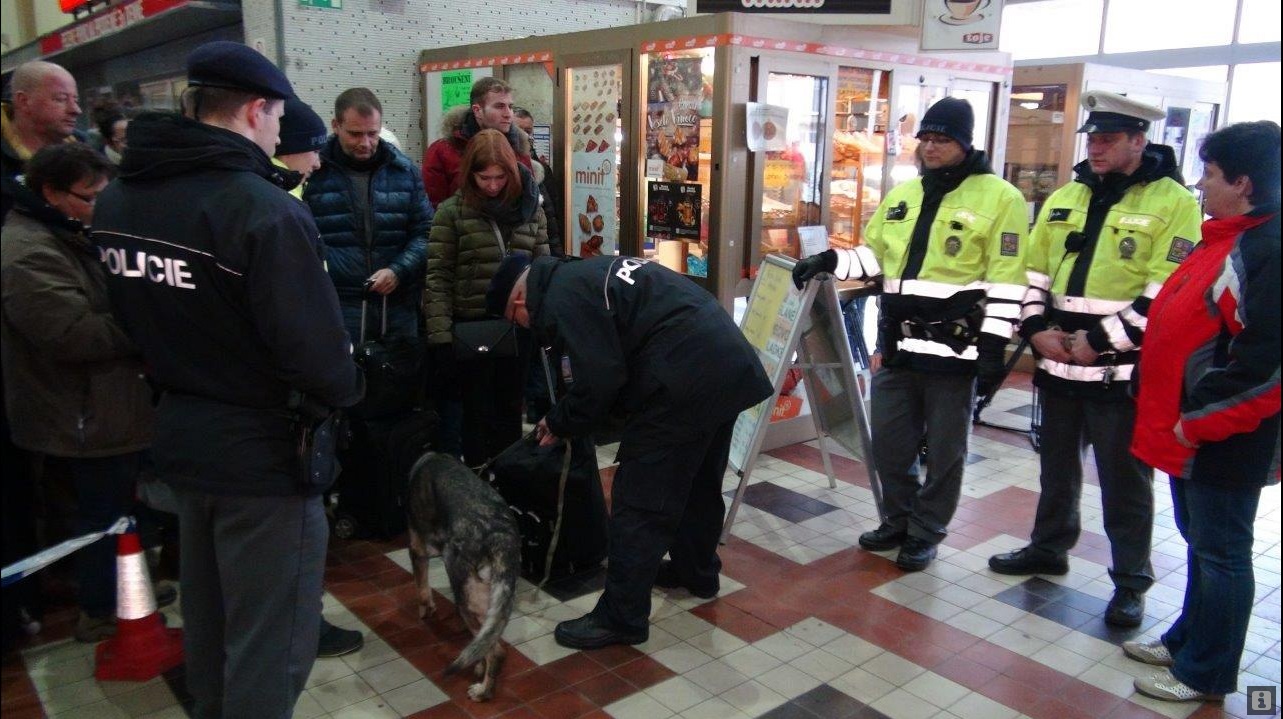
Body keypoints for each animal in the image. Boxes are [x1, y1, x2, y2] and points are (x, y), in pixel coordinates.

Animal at [402, 451, 518, 698]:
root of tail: (498, 534)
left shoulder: (417, 550)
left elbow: (422, 587)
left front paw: (425, 610)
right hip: (494, 597)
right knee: (489, 643)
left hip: (467, 601)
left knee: (496, 652)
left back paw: (483, 692)